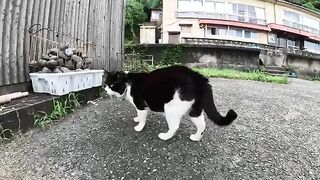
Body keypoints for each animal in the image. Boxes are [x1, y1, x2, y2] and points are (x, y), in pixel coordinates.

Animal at [105, 65, 238, 141]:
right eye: (105, 84)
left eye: (111, 86)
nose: (105, 90)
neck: (128, 84)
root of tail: (199, 78)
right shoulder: (143, 107)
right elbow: (139, 115)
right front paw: (137, 119)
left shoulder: (141, 105)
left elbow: (142, 117)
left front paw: (139, 127)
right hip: (194, 110)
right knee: (202, 125)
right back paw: (196, 137)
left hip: (171, 108)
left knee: (174, 127)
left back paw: (165, 136)